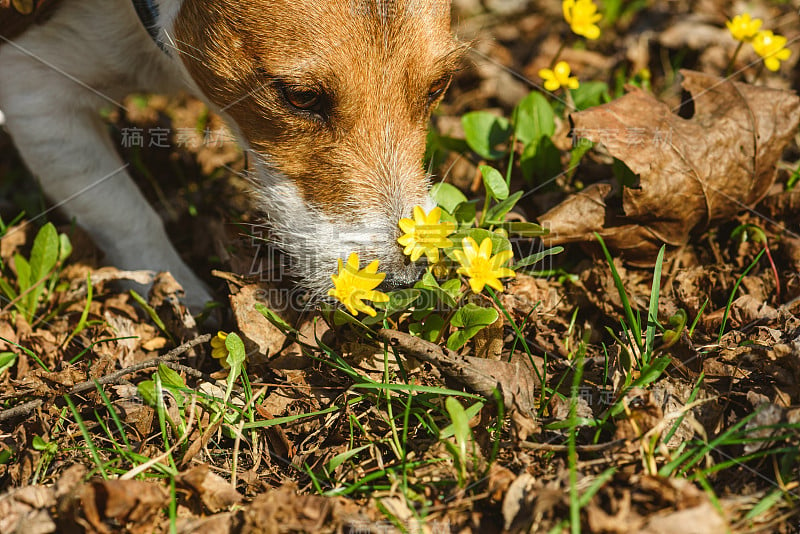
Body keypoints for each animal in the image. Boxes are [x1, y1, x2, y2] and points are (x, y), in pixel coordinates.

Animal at [0, 1, 460, 310]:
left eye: (439, 87)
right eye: (300, 96)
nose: (405, 278)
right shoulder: (34, 91)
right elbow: (124, 214)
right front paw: (177, 293)